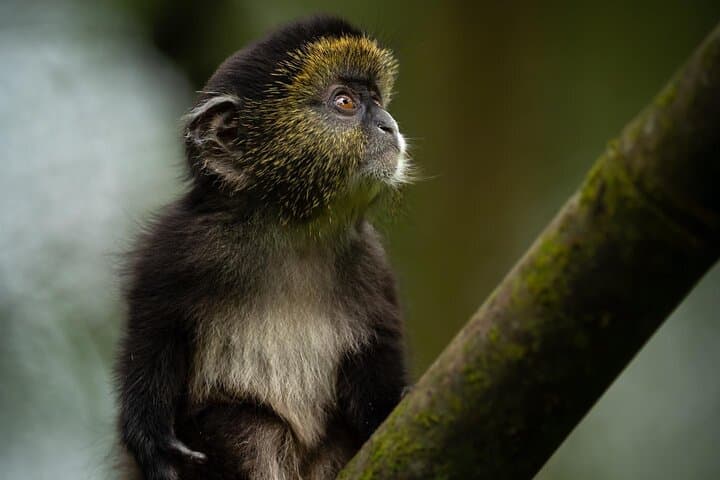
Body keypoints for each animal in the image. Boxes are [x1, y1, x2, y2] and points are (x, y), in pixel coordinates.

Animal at [114, 16, 412, 480]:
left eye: (377, 101)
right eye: (345, 102)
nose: (390, 126)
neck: (289, 229)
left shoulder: (371, 267)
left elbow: (376, 355)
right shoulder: (173, 247)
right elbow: (150, 333)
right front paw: (148, 435)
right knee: (244, 426)